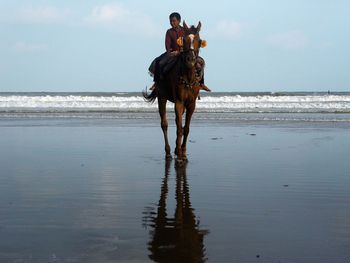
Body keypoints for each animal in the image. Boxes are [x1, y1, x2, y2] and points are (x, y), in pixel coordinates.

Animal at [143, 21, 206, 161]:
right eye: (184, 40)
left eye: (199, 41)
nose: (190, 60)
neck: (188, 76)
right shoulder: (179, 102)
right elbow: (179, 128)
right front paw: (180, 154)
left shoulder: (192, 104)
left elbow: (185, 128)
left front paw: (183, 151)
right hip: (162, 97)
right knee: (164, 124)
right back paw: (168, 152)